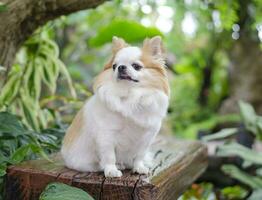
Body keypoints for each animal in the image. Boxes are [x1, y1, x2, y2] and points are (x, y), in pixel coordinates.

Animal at [60, 35, 169, 177]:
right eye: (114, 66)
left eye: (136, 66)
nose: (121, 67)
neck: (129, 95)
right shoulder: (106, 135)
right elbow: (109, 156)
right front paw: (111, 170)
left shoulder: (146, 138)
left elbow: (139, 155)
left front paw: (139, 168)